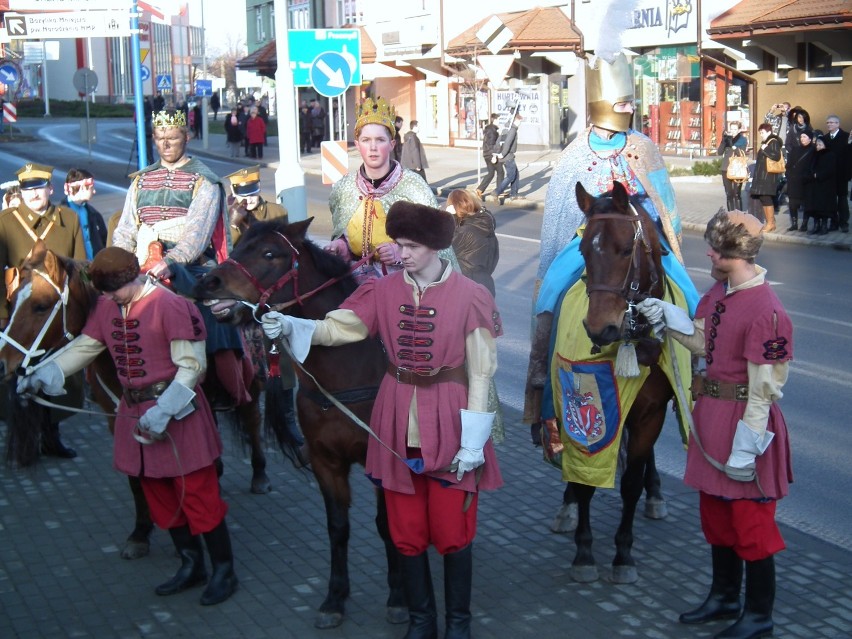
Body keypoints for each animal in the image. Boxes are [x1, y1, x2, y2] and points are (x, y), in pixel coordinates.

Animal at [0, 241, 272, 560]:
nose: (3, 363)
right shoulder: (118, 420)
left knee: (252, 420)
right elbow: (137, 476)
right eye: (11, 301)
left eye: (40, 306)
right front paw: (140, 532)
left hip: (250, 382)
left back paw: (259, 475)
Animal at [195, 219, 408, 632]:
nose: (208, 283)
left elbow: (386, 523)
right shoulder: (326, 462)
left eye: (269, 253)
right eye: (238, 244)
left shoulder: (382, 459)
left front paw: (398, 597)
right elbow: (337, 528)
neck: (346, 367)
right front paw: (334, 598)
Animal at [552, 184, 692, 584]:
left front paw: (623, 554)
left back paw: (655, 493)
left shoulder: (650, 414)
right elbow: (583, 478)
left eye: (627, 249)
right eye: (583, 250)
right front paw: (584, 551)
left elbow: (631, 482)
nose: (601, 328)